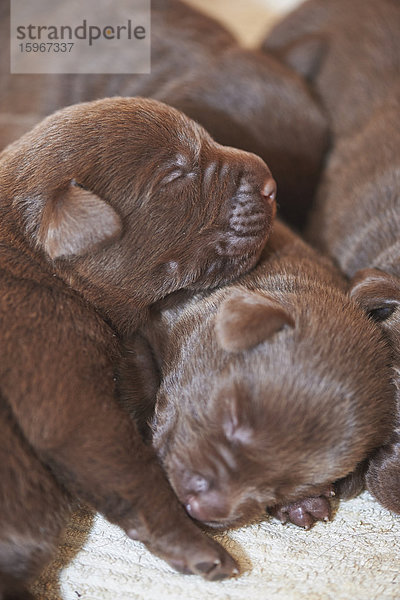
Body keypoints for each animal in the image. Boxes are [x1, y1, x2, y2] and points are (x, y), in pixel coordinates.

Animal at [0, 97, 276, 596]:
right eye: (175, 174)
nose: (271, 183)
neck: (36, 263)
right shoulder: (67, 389)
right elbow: (136, 472)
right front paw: (200, 548)